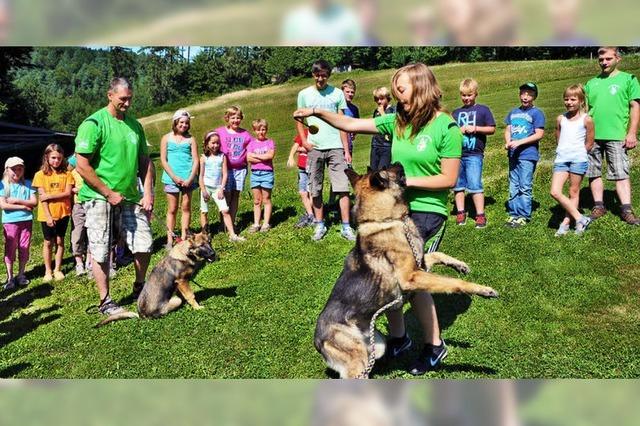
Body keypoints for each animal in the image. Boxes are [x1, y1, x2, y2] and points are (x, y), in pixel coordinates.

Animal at [316, 164, 500, 380]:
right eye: (386, 168)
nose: (398, 162)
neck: (387, 220)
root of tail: (318, 342)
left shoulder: (421, 264)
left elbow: (438, 253)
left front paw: (459, 265)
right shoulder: (412, 276)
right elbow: (452, 282)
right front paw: (482, 289)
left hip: (376, 345)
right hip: (358, 364)